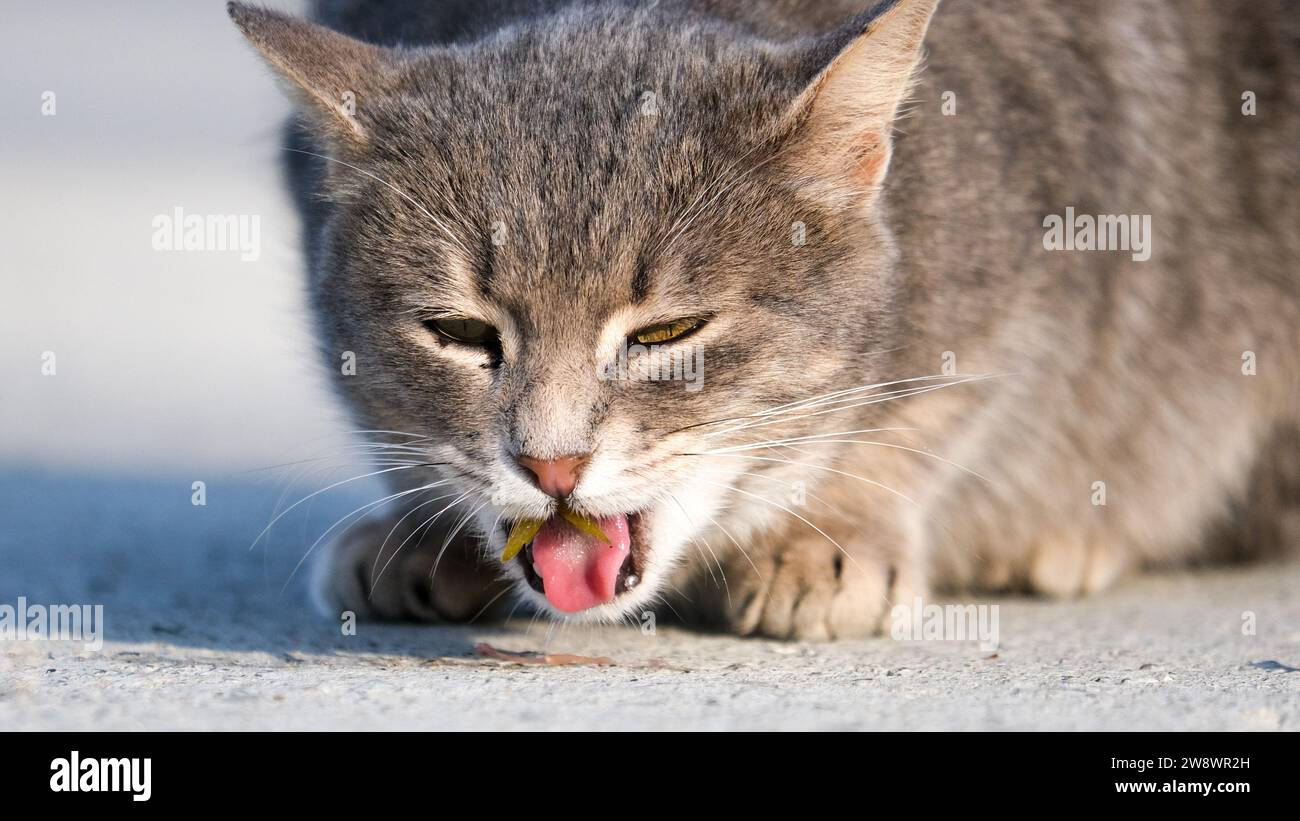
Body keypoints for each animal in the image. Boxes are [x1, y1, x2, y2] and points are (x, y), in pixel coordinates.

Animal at [233, 0, 1300, 639]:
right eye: (460, 333)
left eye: (667, 335)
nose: (552, 466)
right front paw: (425, 530)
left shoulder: (1041, 276)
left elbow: (926, 418)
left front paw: (829, 537)